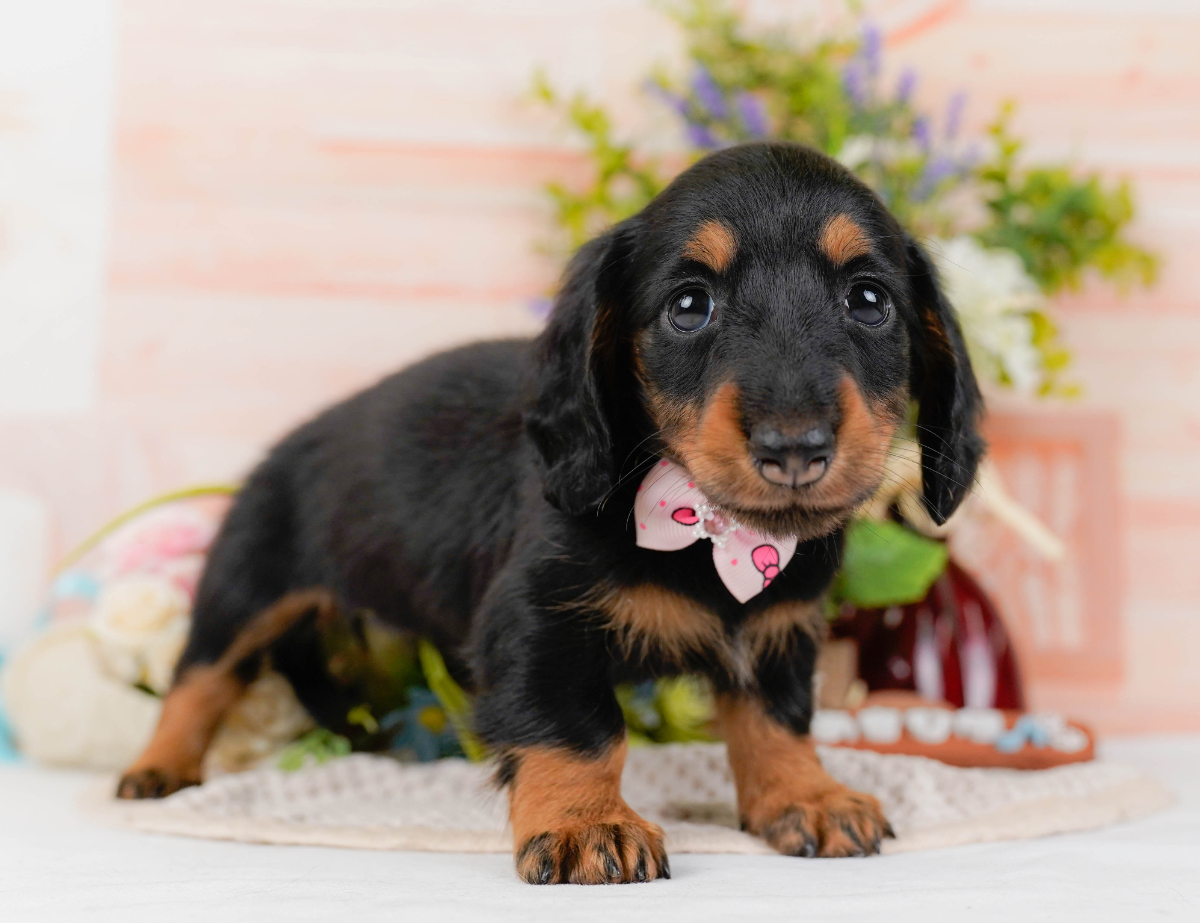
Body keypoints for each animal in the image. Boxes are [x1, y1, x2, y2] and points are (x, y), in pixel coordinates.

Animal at [116, 141, 984, 884]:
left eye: (868, 300)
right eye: (690, 304)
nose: (794, 448)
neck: (710, 533)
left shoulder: (778, 630)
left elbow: (777, 720)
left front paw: (805, 795)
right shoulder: (536, 623)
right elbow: (581, 727)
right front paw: (585, 823)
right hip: (245, 587)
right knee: (199, 677)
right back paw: (158, 766)